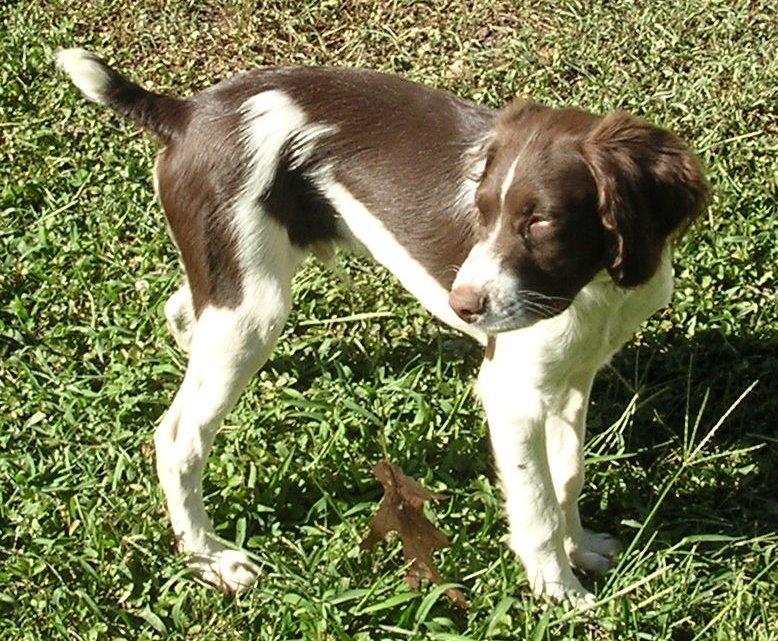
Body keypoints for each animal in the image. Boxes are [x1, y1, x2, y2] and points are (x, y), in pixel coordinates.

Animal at [56, 48, 707, 604]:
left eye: (542, 222)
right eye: (482, 212)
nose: (461, 304)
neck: (593, 288)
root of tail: (187, 114)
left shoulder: (574, 375)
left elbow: (567, 473)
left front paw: (582, 547)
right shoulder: (513, 392)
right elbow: (537, 501)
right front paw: (559, 591)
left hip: (232, 286)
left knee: (182, 314)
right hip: (253, 305)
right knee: (178, 438)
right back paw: (208, 558)